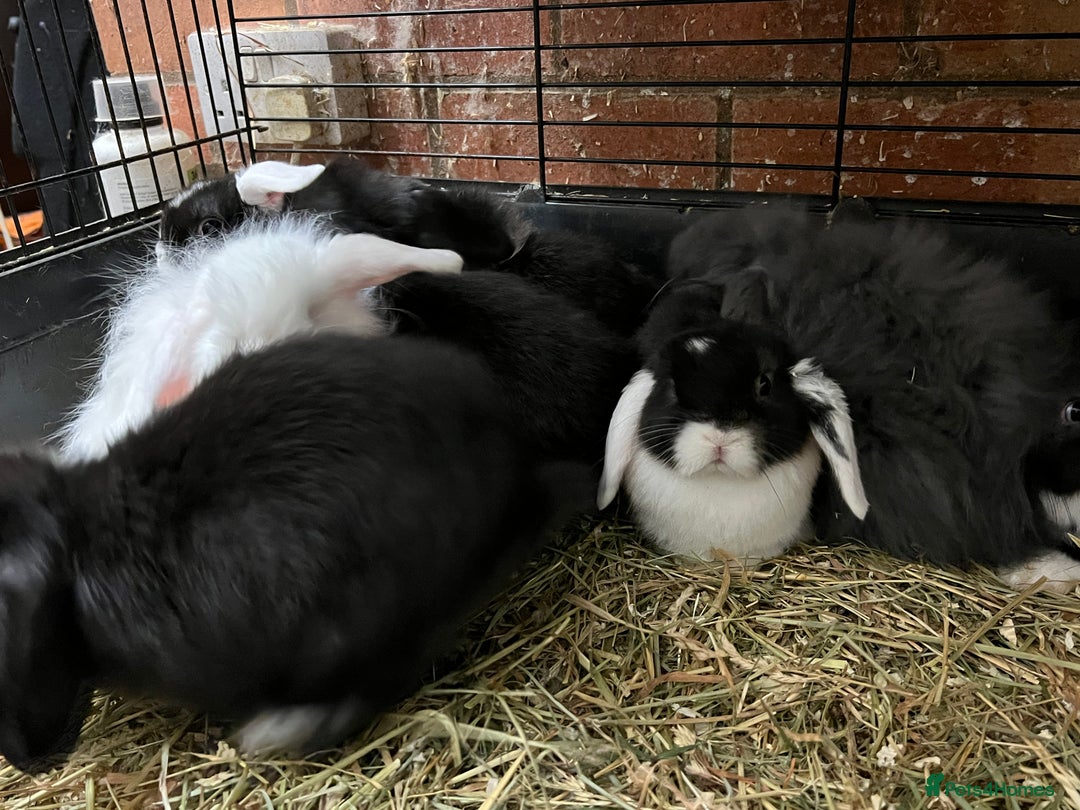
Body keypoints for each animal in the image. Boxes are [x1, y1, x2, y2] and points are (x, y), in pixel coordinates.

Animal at [0, 332, 594, 774]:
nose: (25, 760)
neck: (84, 546)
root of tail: (516, 481)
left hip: (353, 621)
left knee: (382, 678)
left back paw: (281, 731)